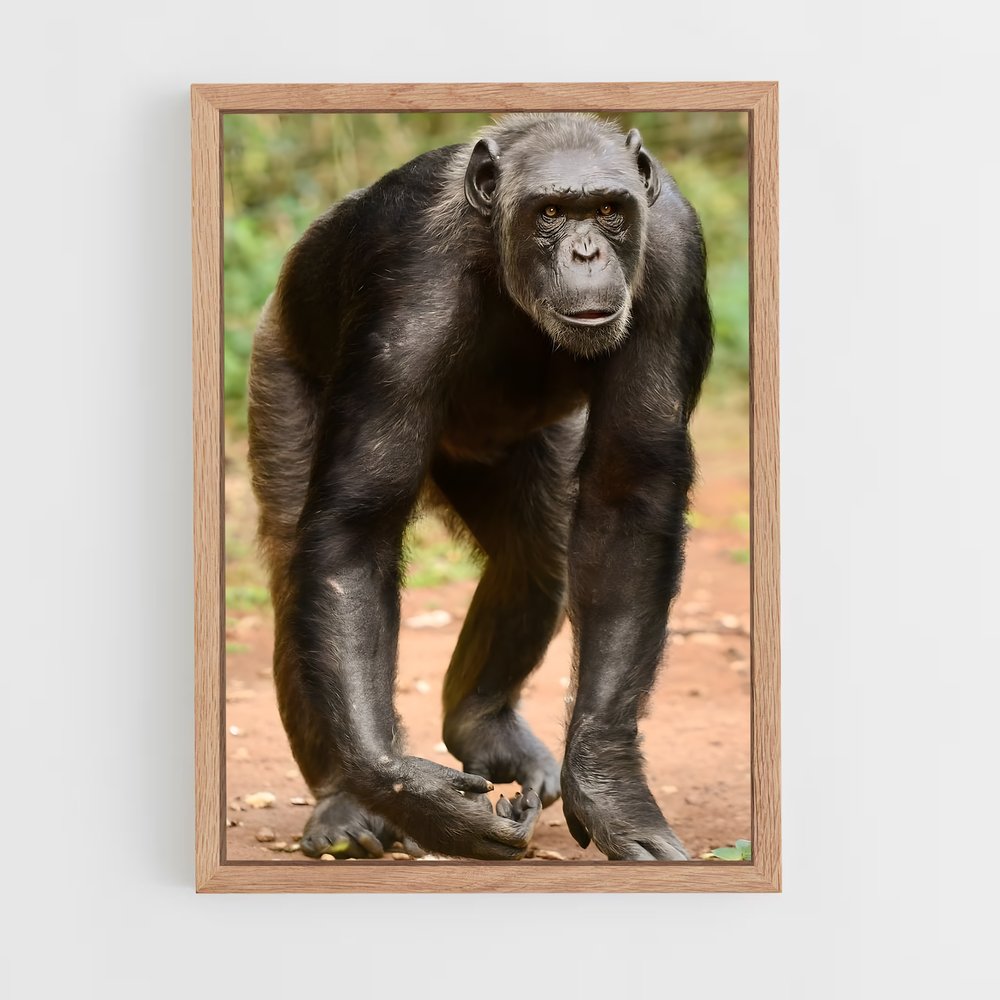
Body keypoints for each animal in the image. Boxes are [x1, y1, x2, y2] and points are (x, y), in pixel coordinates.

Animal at [247, 113, 713, 861]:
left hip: (517, 453)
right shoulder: (405, 287)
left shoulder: (673, 257)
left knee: (538, 552)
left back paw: (481, 727)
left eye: (609, 212)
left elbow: (628, 494)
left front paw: (611, 791)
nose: (586, 252)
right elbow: (357, 525)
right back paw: (344, 803)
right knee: (300, 567)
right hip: (277, 362)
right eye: (550, 213)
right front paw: (416, 796)